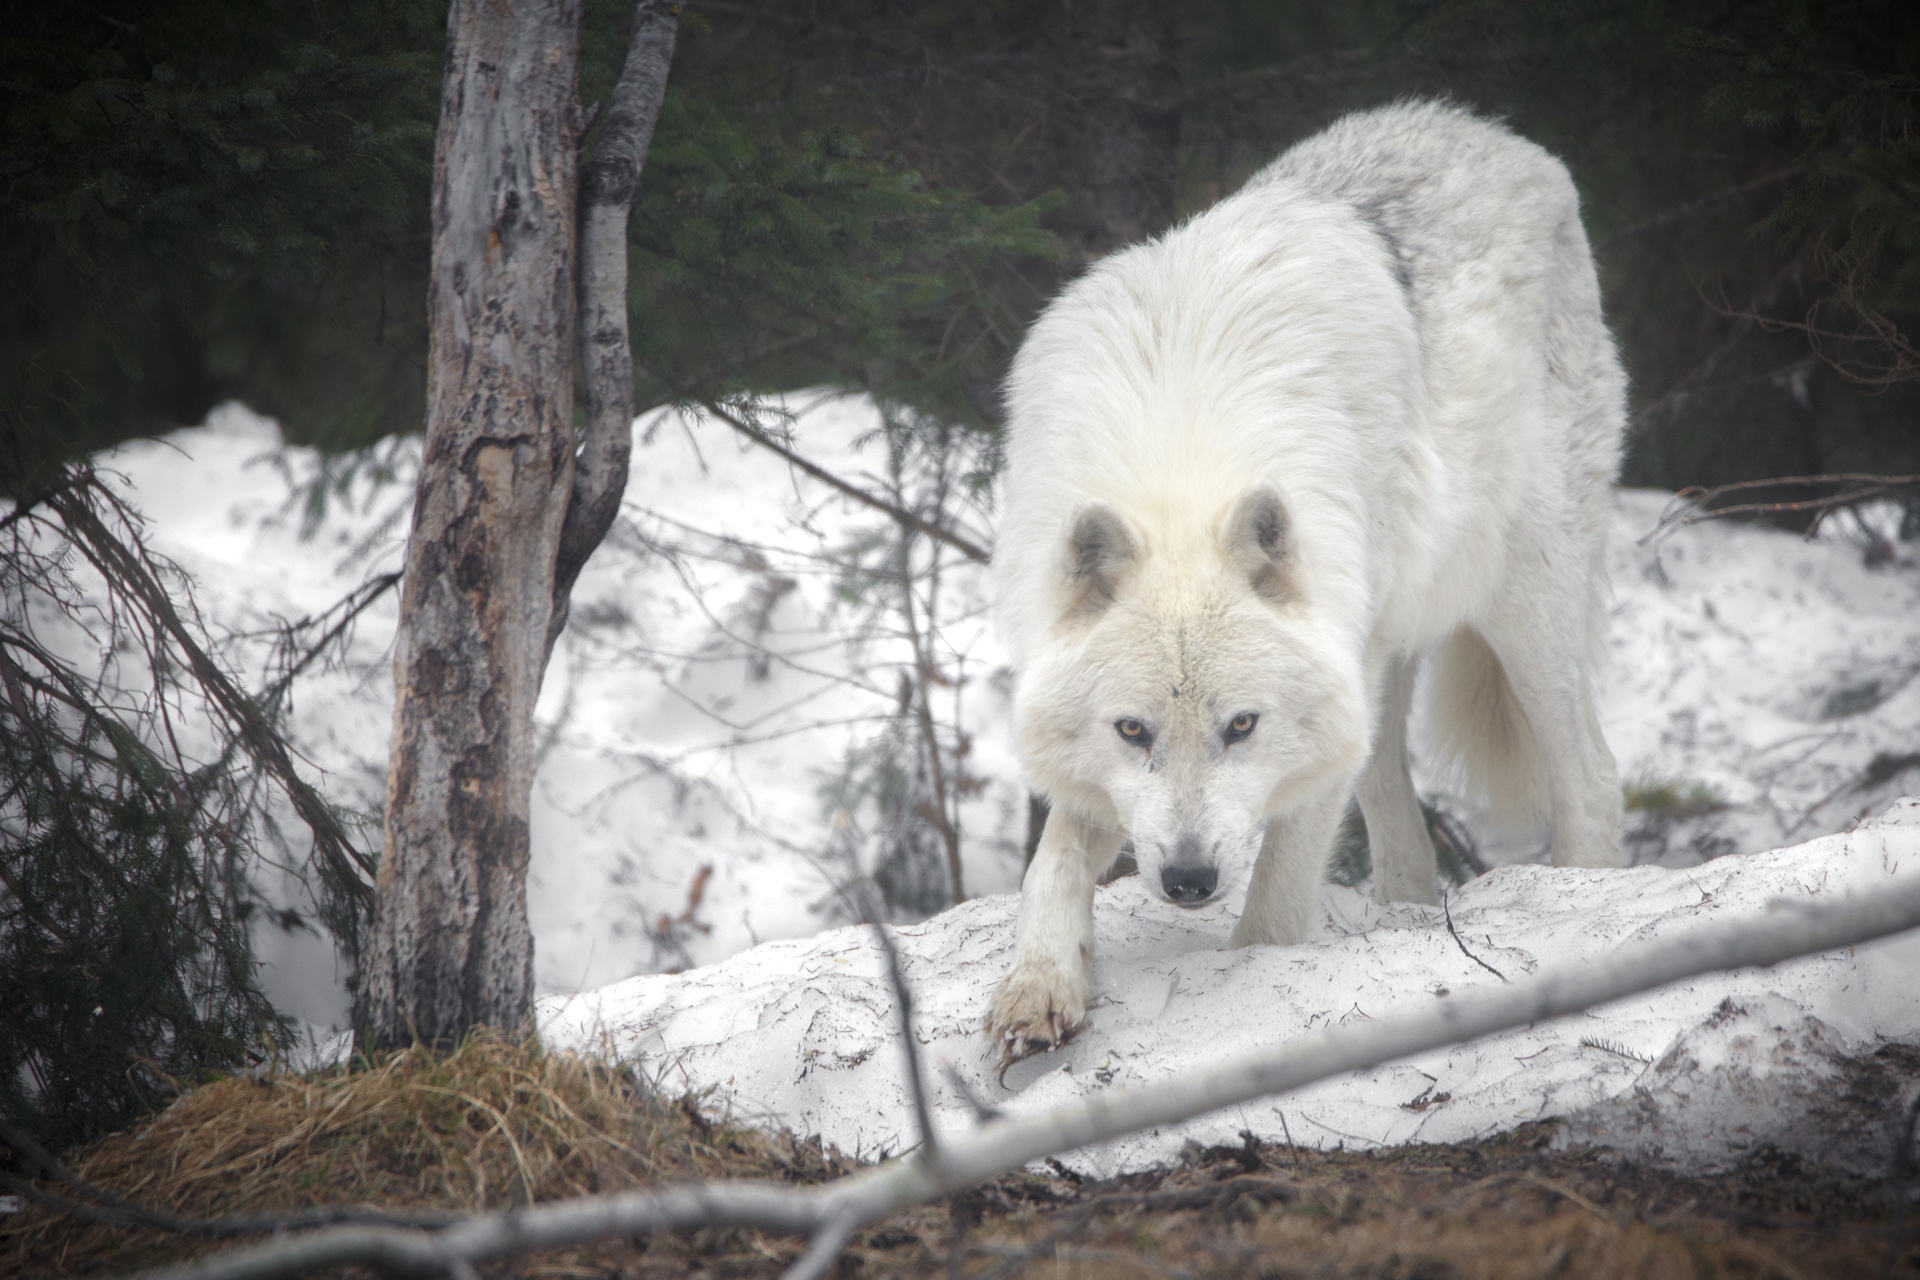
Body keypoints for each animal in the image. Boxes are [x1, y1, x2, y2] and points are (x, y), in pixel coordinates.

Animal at [983, 100, 1628, 1066]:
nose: (1187, 879)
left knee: (1591, 774)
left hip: (1523, 602)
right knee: (1394, 802)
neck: (1182, 465)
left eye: (1242, 726)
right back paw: (1406, 915)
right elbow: (1051, 861)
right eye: (1132, 730)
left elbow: (1278, 900)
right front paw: (1040, 988)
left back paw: (1588, 901)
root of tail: (1497, 136)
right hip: (1385, 656)